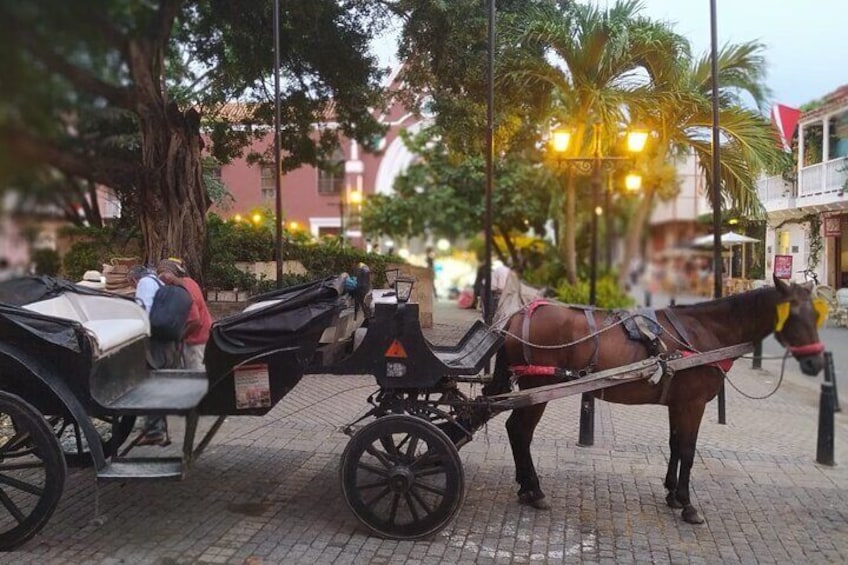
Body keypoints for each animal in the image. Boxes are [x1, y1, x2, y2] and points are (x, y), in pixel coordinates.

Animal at [486, 278, 824, 524]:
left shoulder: (679, 403)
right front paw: (687, 504)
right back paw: (534, 490)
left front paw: (672, 493)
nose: (816, 363)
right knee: (520, 431)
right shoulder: (693, 403)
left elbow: (675, 444)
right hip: (538, 389)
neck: (707, 332)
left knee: (517, 431)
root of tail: (518, 316)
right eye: (794, 315)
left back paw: (526, 487)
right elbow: (688, 450)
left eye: (816, 315)